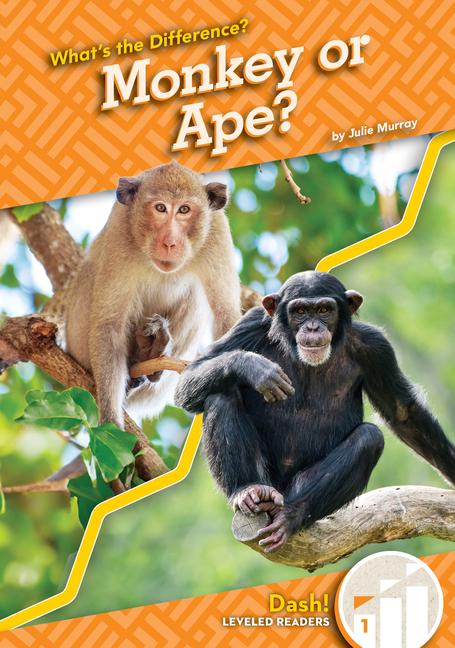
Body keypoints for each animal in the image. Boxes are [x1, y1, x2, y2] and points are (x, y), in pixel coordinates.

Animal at [65, 162, 241, 427]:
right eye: (160, 208)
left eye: (184, 210)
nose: (169, 242)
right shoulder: (119, 230)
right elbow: (109, 325)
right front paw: (110, 422)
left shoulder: (217, 232)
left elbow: (226, 315)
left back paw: (153, 357)